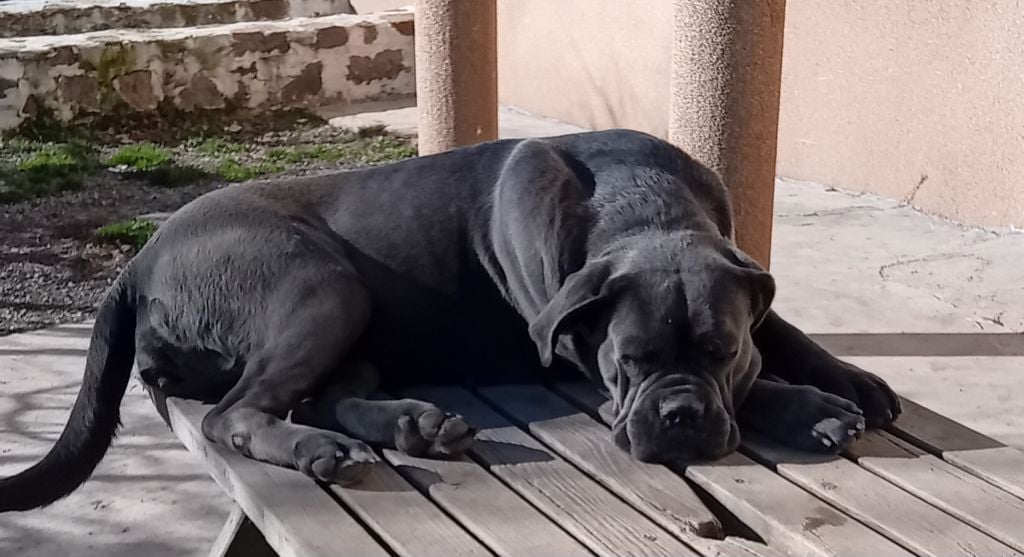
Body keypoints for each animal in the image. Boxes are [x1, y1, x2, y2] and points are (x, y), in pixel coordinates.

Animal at [0, 129, 901, 511]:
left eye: (718, 349)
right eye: (629, 361)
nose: (678, 416)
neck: (640, 203)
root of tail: (137, 261)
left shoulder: (741, 279)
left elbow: (780, 332)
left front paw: (847, 380)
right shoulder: (574, 347)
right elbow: (763, 381)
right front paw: (808, 407)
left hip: (351, 318)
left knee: (322, 392)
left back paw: (412, 424)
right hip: (322, 285)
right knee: (238, 411)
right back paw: (323, 447)